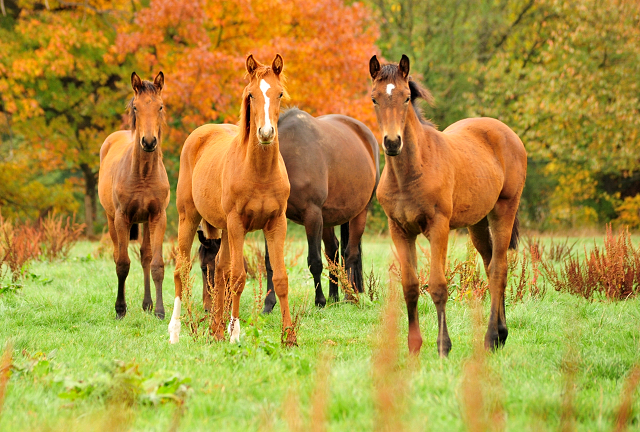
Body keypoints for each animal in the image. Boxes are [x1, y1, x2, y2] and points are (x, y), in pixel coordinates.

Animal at [96, 71, 169, 318]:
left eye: (160, 106)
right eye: (136, 107)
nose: (148, 141)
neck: (143, 174)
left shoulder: (158, 217)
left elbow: (156, 263)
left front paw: (159, 311)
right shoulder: (122, 218)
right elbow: (122, 263)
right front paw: (120, 308)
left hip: (145, 221)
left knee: (145, 256)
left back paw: (147, 304)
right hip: (112, 220)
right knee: (119, 256)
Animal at [168, 53, 292, 344]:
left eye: (280, 93)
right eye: (251, 95)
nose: (266, 133)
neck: (259, 173)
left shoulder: (276, 224)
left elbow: (279, 278)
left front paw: (289, 336)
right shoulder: (237, 224)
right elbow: (238, 278)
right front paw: (235, 333)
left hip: (223, 230)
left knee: (219, 268)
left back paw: (215, 330)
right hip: (188, 218)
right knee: (182, 269)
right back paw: (175, 332)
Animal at [368, 55, 528, 356]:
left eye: (406, 97)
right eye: (374, 99)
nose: (392, 142)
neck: (411, 172)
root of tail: (508, 133)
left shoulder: (438, 227)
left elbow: (438, 286)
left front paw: (444, 346)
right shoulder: (400, 230)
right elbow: (410, 286)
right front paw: (414, 346)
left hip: (504, 210)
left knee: (499, 269)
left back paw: (491, 338)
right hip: (478, 222)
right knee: (490, 264)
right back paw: (501, 334)